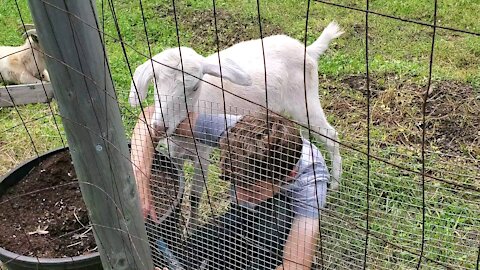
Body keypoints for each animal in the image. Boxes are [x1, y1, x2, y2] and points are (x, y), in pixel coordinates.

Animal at [129, 20, 344, 219]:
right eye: (156, 82)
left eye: (195, 87)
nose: (159, 127)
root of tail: (308, 50)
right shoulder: (174, 155)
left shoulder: (202, 157)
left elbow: (195, 198)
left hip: (305, 101)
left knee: (331, 135)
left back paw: (335, 182)